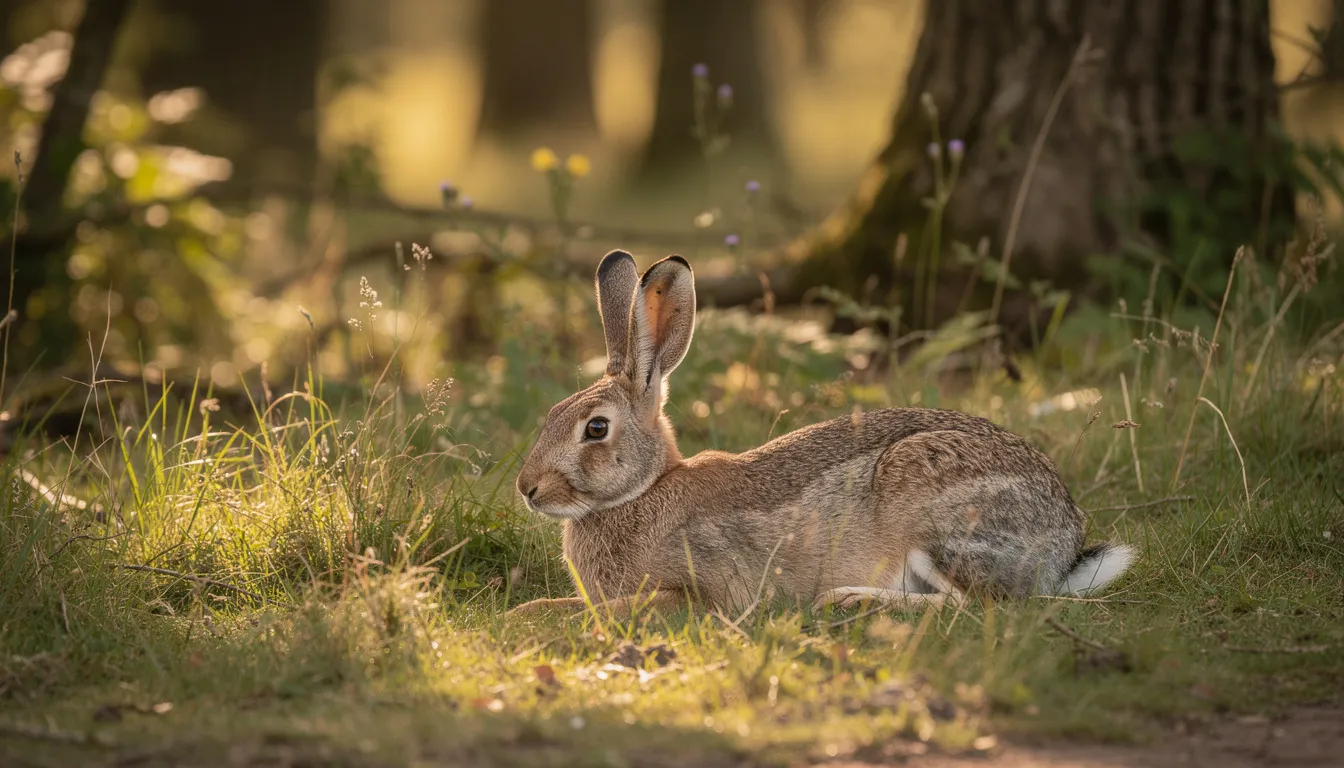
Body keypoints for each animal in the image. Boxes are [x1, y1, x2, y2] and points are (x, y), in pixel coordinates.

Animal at [508, 250, 1135, 618]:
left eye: (595, 428)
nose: (527, 488)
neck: (640, 495)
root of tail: (1065, 543)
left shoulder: (697, 592)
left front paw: (529, 617)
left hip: (935, 512)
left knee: (980, 605)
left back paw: (849, 597)